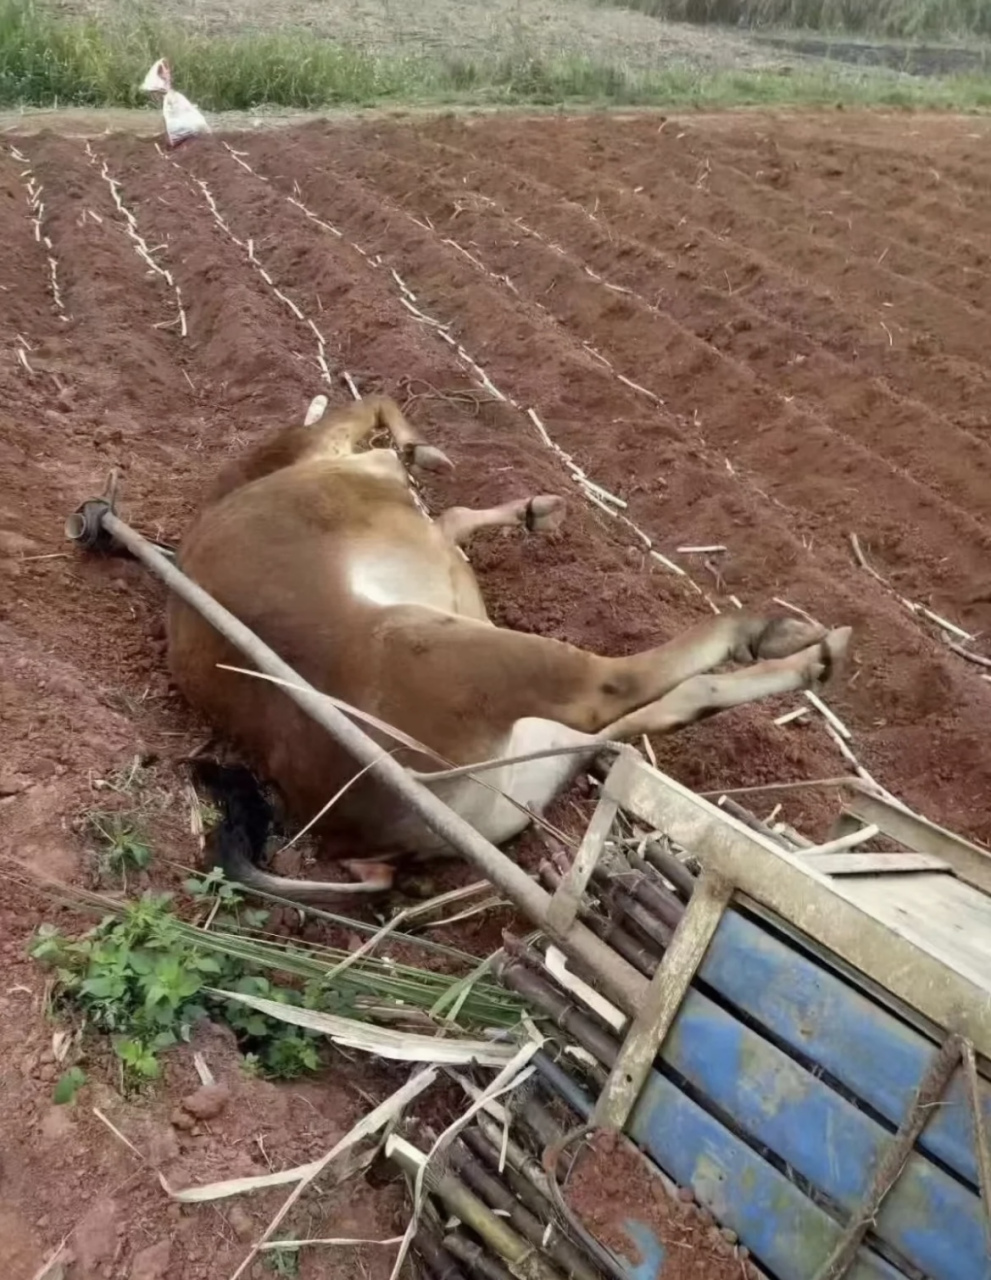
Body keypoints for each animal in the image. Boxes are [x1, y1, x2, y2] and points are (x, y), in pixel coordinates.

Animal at [166, 394, 850, 906]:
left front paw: (525, 507)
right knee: (620, 687)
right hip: (460, 653)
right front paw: (438, 459)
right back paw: (784, 638)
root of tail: (355, 839)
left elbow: (446, 507)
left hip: (527, 757)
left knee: (646, 714)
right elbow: (376, 410)